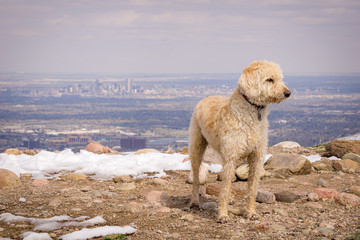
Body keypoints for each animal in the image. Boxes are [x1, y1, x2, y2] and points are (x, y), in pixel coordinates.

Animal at [188, 60, 290, 223]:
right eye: (269, 79)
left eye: (280, 78)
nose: (288, 93)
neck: (252, 110)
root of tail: (206, 97)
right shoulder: (231, 157)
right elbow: (224, 190)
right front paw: (223, 215)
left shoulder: (256, 157)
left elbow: (252, 189)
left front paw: (251, 213)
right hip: (197, 147)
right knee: (197, 179)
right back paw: (195, 202)